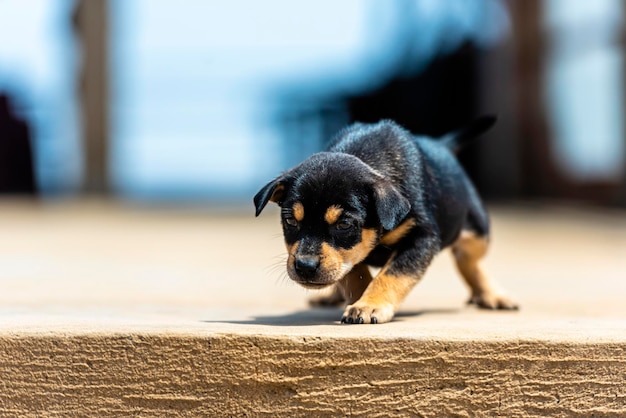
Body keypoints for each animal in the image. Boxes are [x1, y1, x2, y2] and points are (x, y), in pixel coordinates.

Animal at [251, 116, 516, 324]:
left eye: (344, 225)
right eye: (290, 222)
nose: (304, 266)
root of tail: (441, 145)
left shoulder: (422, 237)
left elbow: (393, 274)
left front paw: (369, 305)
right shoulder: (349, 256)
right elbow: (354, 271)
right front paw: (359, 298)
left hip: (477, 232)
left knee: (468, 259)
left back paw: (491, 294)